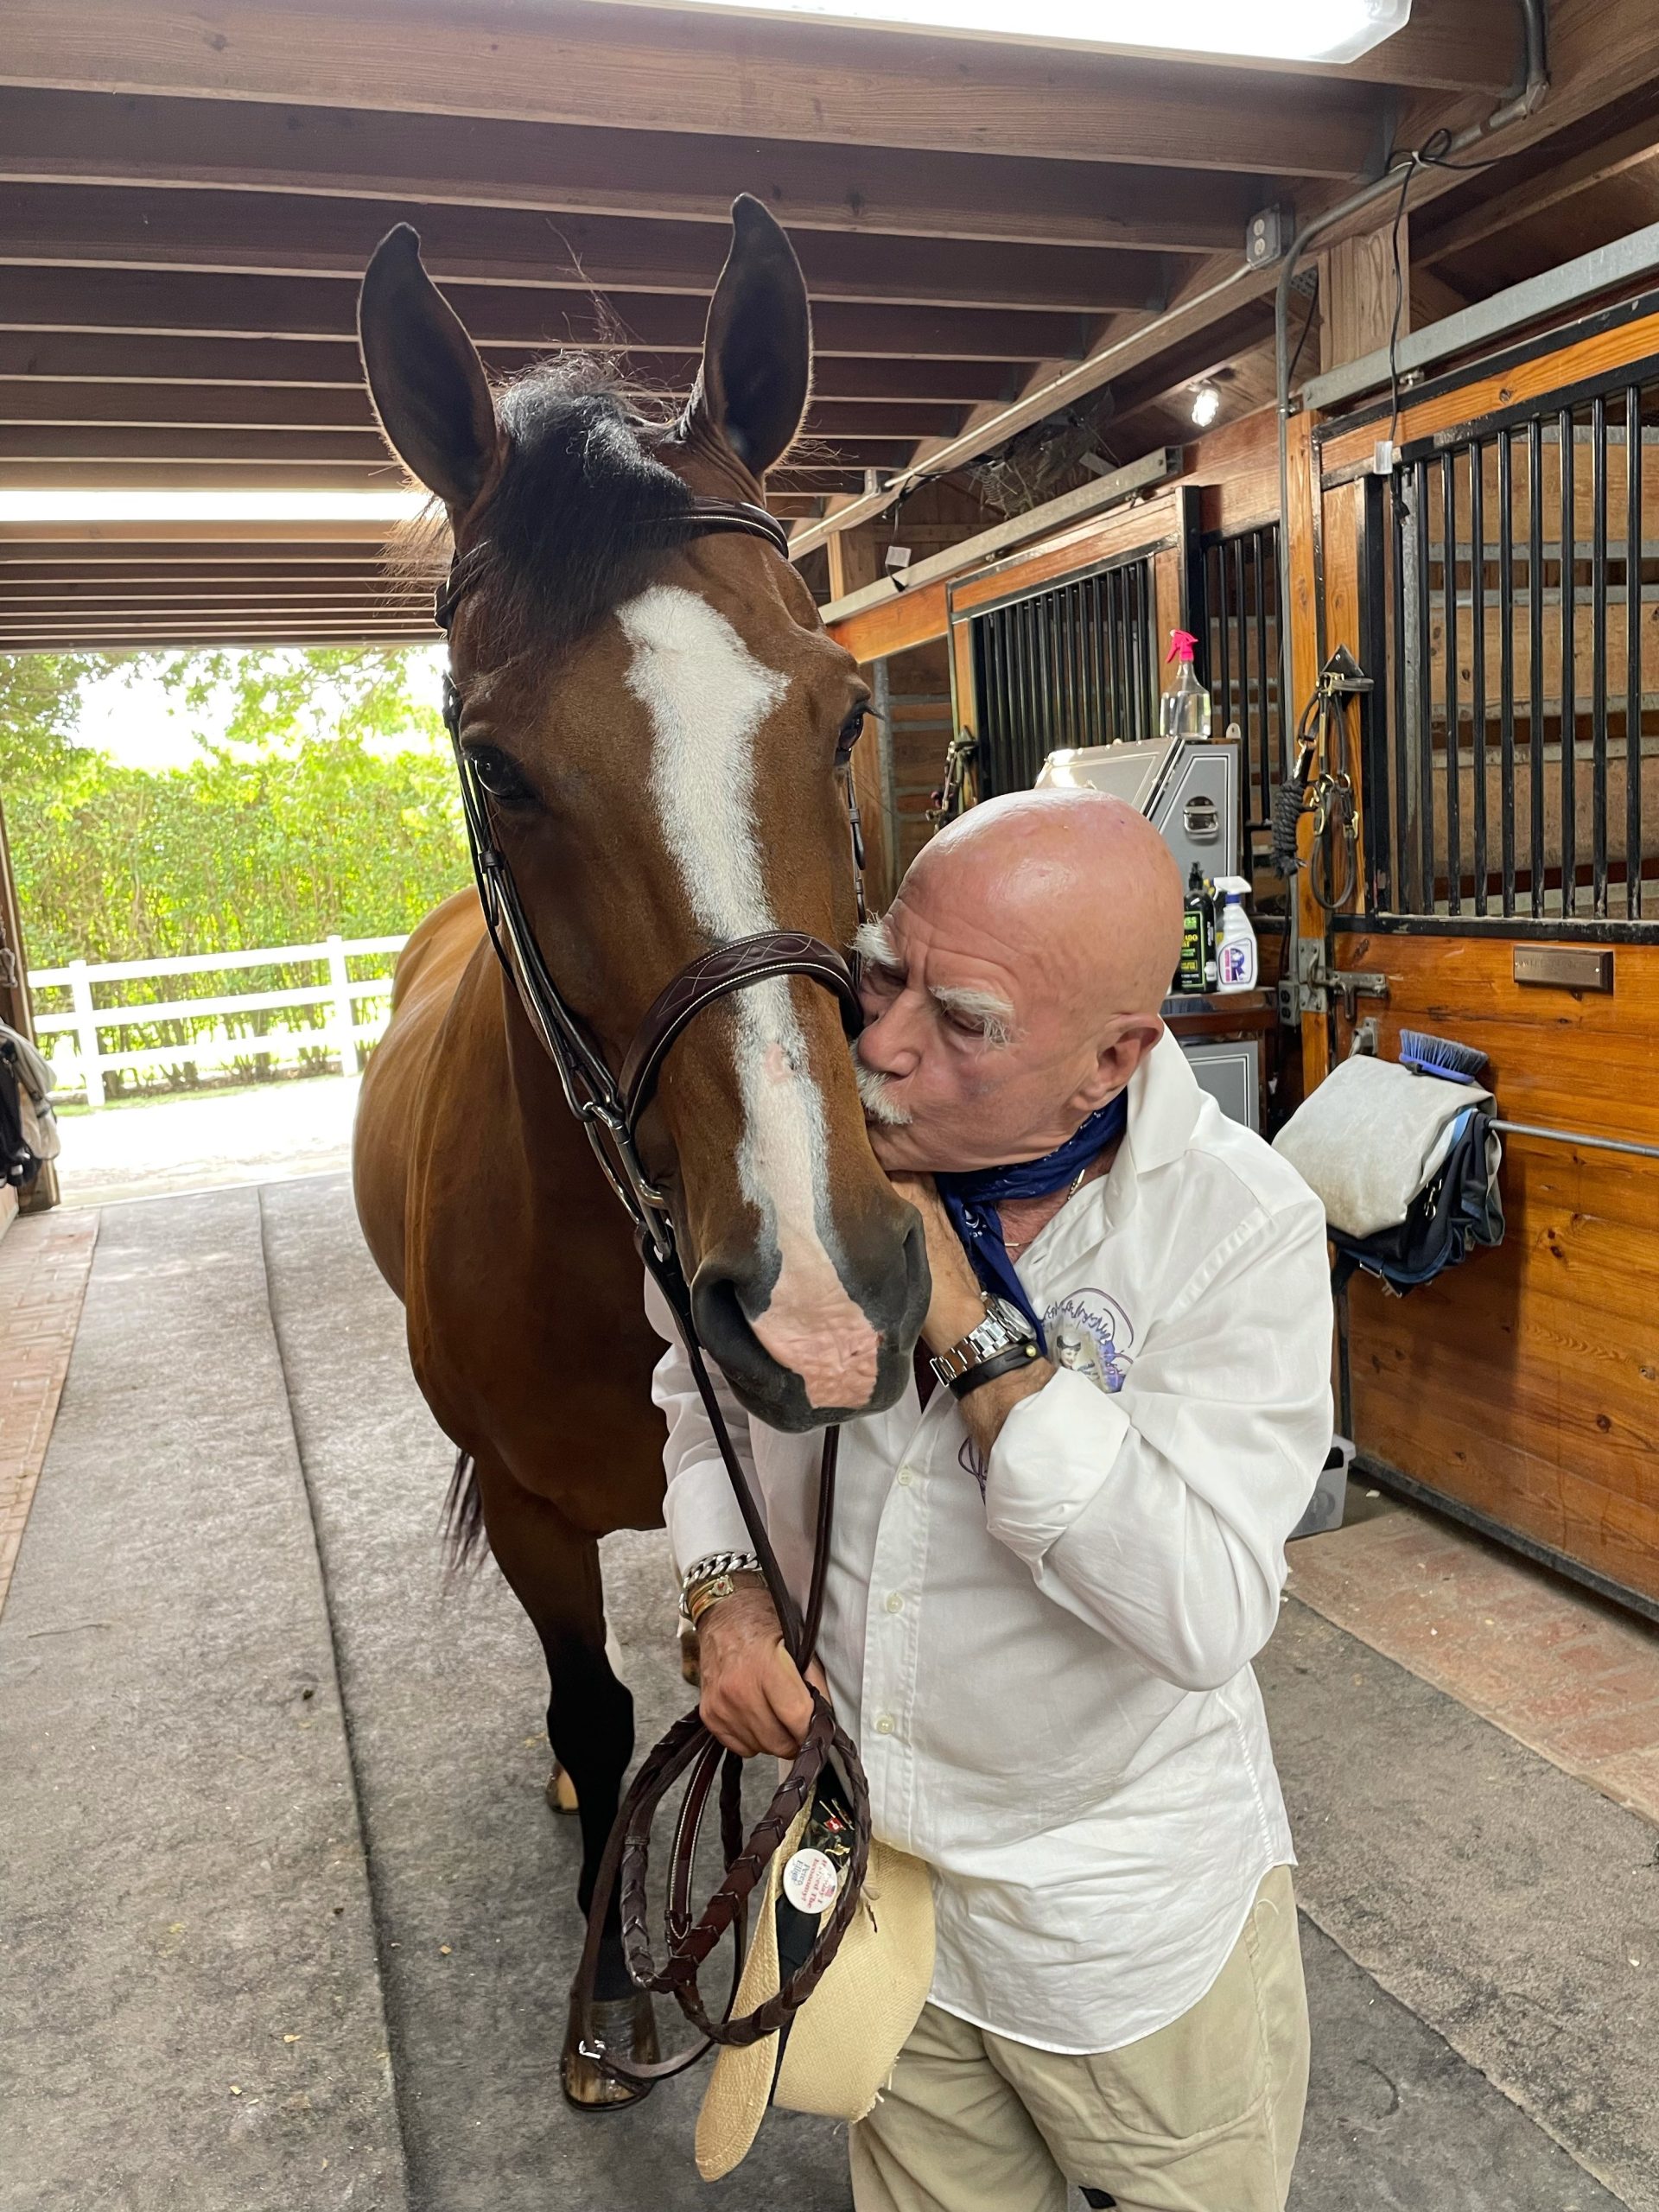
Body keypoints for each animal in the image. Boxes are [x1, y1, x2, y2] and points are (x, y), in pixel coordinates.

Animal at [351, 197, 929, 2108]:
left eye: (844, 711)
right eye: (497, 769)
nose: (826, 1299)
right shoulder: (530, 1507)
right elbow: (604, 1717)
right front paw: (609, 1995)